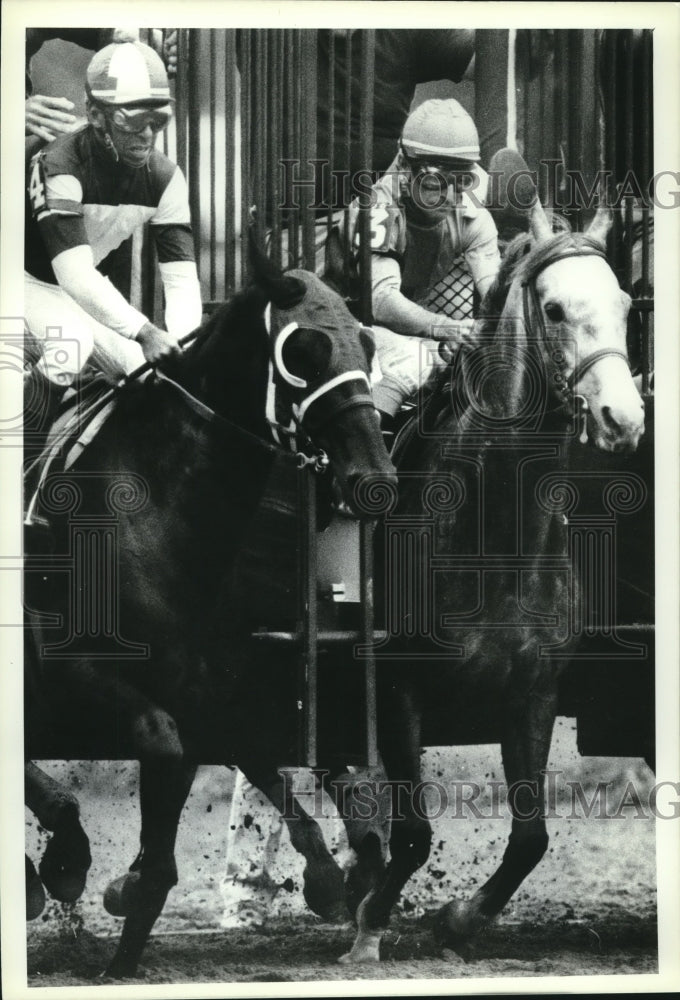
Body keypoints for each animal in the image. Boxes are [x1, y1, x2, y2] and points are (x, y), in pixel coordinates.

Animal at [25, 258, 398, 976]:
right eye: (303, 353)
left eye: (366, 345)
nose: (374, 479)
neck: (150, 513)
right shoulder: (71, 671)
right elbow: (162, 751)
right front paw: (85, 875)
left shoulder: (209, 683)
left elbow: (255, 760)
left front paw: (329, 876)